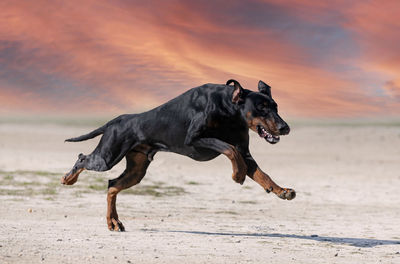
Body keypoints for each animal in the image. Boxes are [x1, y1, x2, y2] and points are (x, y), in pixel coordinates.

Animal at [61, 80, 294, 231]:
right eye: (261, 107)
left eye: (275, 106)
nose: (285, 127)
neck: (229, 108)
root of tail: (114, 121)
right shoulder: (195, 139)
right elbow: (229, 149)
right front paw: (237, 175)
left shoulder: (245, 151)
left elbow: (261, 173)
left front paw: (282, 191)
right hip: (107, 156)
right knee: (83, 158)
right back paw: (68, 178)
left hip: (136, 170)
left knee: (112, 185)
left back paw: (113, 222)